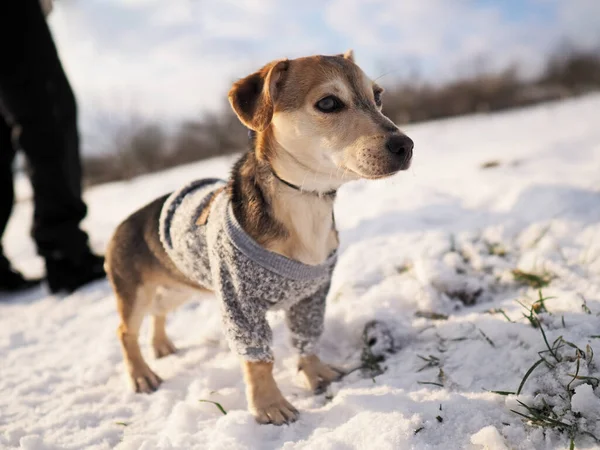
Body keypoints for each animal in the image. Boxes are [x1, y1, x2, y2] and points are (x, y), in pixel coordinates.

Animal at [105, 50, 412, 426]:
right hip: (134, 290)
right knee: (125, 331)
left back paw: (162, 346)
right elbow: (258, 358)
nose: (405, 145)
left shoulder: (311, 296)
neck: (305, 199)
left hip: (177, 287)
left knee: (159, 313)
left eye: (378, 96)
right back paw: (141, 375)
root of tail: (122, 224)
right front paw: (270, 406)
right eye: (328, 103)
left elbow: (307, 340)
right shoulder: (239, 301)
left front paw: (317, 374)